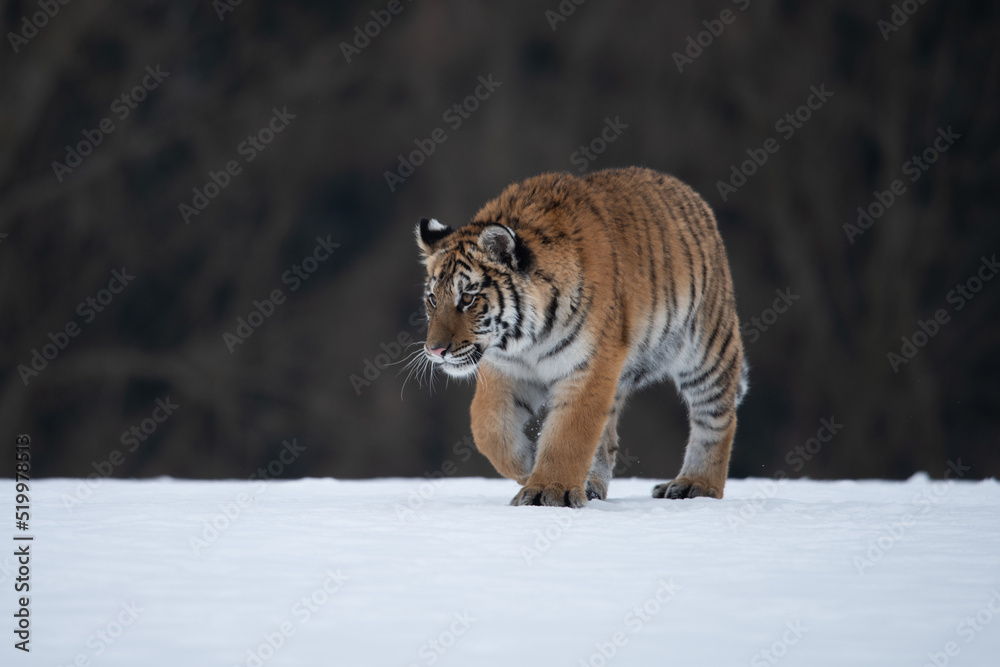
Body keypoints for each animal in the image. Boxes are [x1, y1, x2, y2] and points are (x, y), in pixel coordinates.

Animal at [414, 166, 748, 507]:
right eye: (432, 299)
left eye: (467, 298)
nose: (434, 350)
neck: (525, 341)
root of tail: (686, 191)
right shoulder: (507, 371)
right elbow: (488, 427)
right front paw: (528, 465)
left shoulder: (589, 367)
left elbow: (569, 434)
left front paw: (549, 490)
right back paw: (593, 486)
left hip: (706, 350)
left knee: (716, 418)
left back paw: (696, 485)